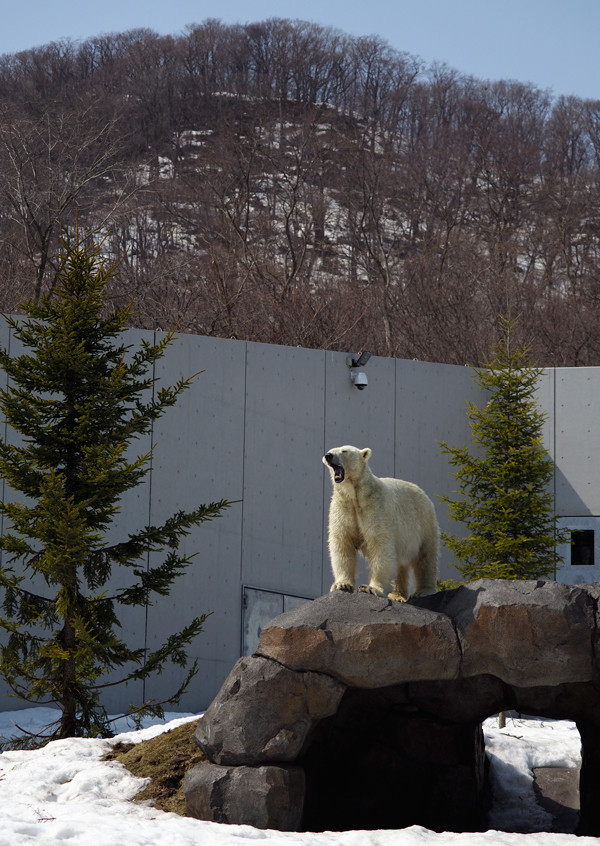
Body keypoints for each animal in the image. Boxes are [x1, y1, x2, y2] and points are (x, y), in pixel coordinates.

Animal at [326, 448, 438, 600]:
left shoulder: (376, 507)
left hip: (424, 520)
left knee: (425, 556)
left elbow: (379, 545)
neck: (356, 496)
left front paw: (371, 588)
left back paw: (423, 590)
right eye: (330, 451)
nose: (328, 456)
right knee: (400, 563)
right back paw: (396, 594)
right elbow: (343, 543)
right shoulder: (343, 509)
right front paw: (342, 584)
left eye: (344, 450)